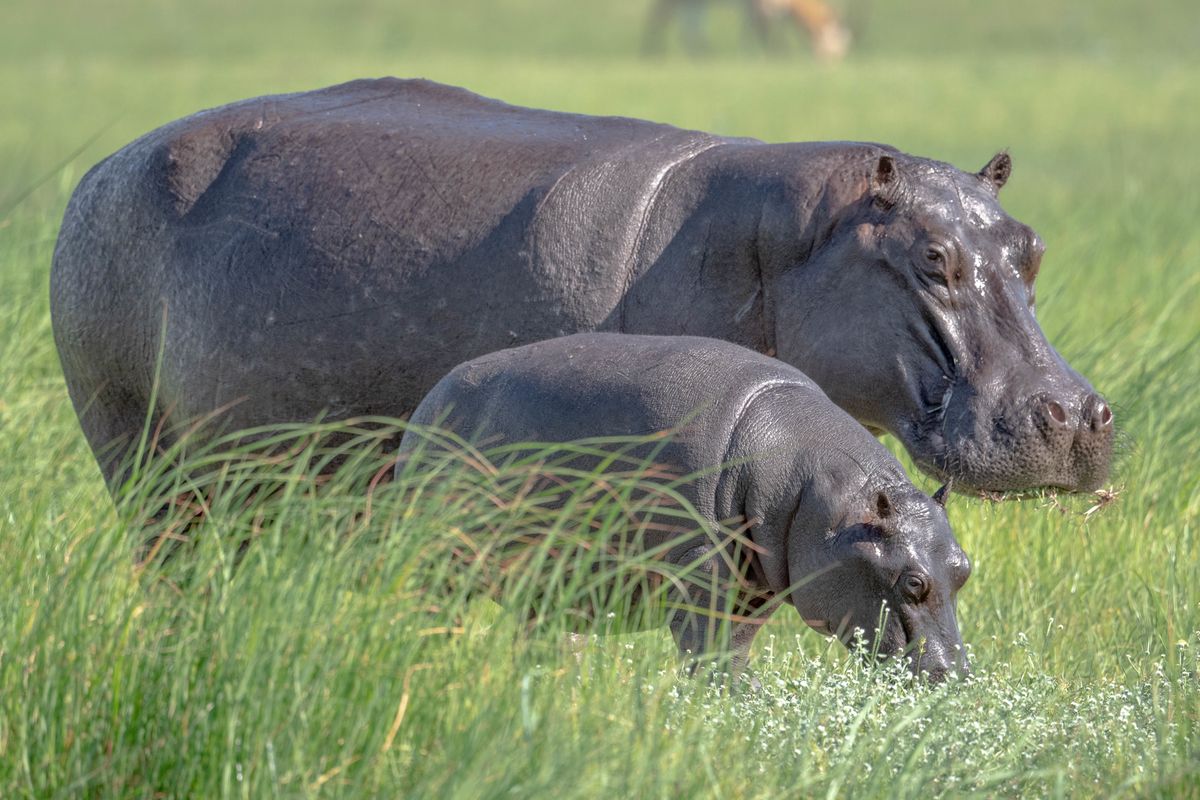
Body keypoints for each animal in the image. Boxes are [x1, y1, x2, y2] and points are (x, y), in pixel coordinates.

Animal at [49, 77, 1113, 496]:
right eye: (931, 257)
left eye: (1032, 248)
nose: (1075, 415)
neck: (787, 238)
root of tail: (104, 165)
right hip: (128, 432)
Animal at [398, 331, 969, 681]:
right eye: (912, 583)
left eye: (963, 570)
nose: (956, 676)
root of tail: (430, 399)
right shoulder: (698, 573)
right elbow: (709, 652)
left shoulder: (754, 590)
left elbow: (732, 650)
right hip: (437, 555)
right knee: (430, 605)